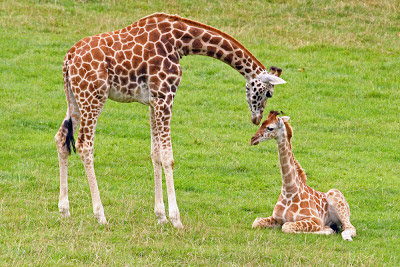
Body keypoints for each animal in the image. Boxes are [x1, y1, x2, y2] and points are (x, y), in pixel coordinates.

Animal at [55, 13, 288, 228]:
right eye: (269, 93)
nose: (256, 118)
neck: (180, 42)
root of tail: (68, 58)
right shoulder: (165, 96)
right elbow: (168, 157)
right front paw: (176, 219)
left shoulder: (153, 101)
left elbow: (155, 153)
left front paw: (161, 216)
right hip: (93, 96)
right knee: (85, 144)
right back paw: (100, 215)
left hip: (74, 98)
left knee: (61, 138)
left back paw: (65, 210)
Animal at [250, 111, 356, 243]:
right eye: (261, 124)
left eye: (270, 128)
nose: (253, 139)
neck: (289, 190)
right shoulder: (276, 218)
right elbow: (256, 222)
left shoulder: (315, 220)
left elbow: (286, 227)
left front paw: (326, 230)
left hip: (335, 196)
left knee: (350, 228)